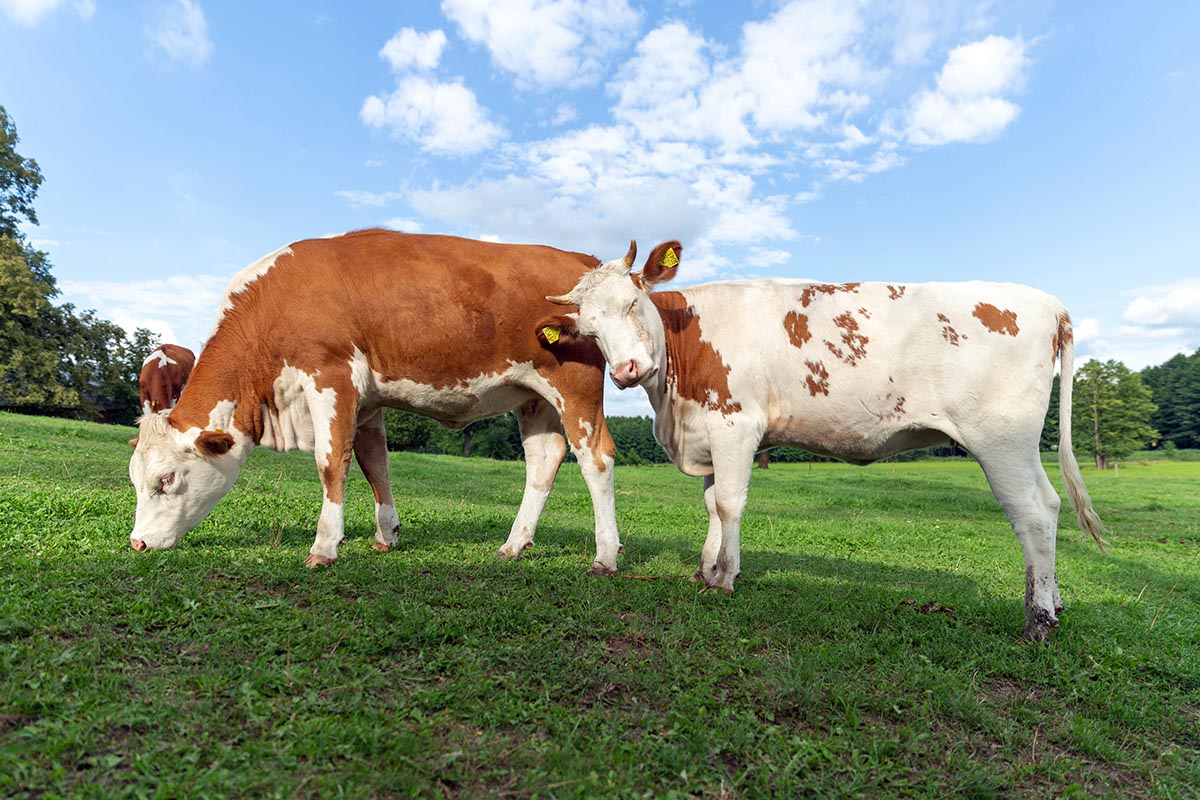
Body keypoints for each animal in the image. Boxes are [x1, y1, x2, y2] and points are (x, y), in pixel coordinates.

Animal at [128, 229, 621, 574]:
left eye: (166, 479)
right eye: (135, 479)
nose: (137, 543)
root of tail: (579, 259)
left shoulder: (331, 377)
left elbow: (331, 462)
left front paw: (324, 547)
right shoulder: (366, 401)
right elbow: (374, 462)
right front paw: (387, 535)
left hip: (574, 386)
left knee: (596, 457)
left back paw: (606, 556)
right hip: (534, 397)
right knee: (545, 457)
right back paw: (513, 545)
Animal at [536, 240, 1104, 641]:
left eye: (634, 302)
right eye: (590, 330)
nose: (628, 370)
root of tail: (1045, 302)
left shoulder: (736, 425)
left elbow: (729, 503)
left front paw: (725, 578)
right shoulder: (709, 432)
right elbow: (711, 504)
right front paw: (704, 569)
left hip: (1001, 438)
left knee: (1032, 511)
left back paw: (1037, 621)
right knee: (1051, 504)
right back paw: (1052, 606)